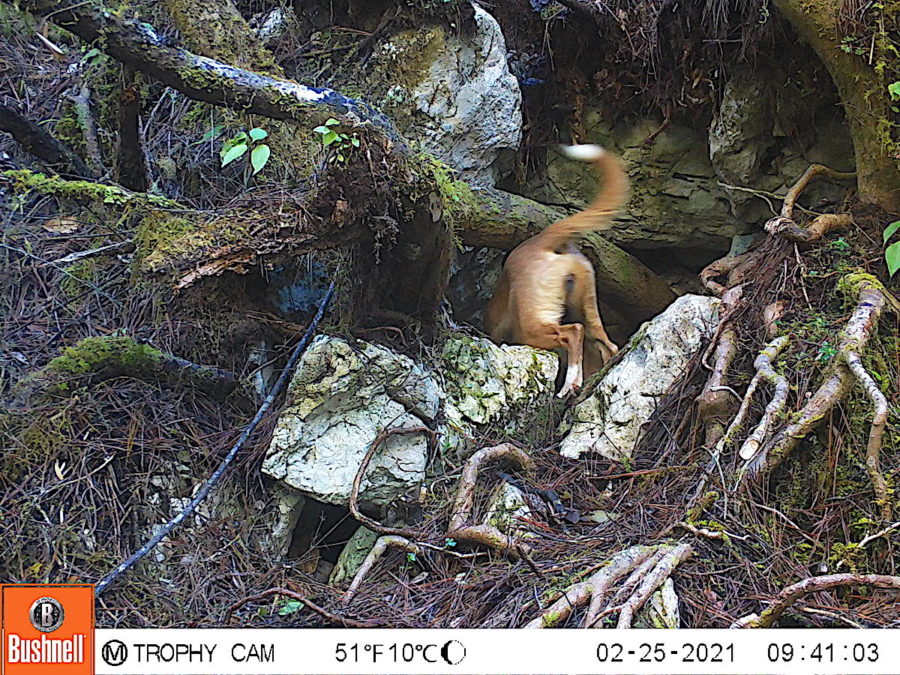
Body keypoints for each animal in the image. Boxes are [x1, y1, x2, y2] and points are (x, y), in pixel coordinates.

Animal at [486, 144, 624, 396]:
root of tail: (539, 242)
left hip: (531, 325)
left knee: (573, 333)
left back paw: (569, 386)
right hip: (587, 309)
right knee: (606, 345)